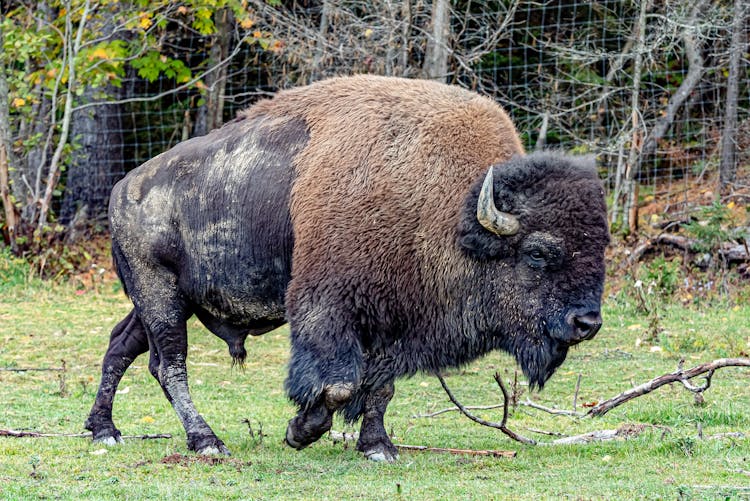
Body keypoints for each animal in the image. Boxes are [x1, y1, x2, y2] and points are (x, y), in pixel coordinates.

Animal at [85, 74, 612, 460]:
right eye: (538, 252)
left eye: (602, 246)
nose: (587, 322)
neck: (447, 210)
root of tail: (123, 187)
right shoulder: (329, 310)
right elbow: (339, 385)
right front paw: (300, 430)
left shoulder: (392, 322)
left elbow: (380, 387)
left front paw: (378, 447)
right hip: (161, 294)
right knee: (168, 363)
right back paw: (206, 442)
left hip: (168, 300)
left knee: (122, 345)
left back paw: (104, 431)